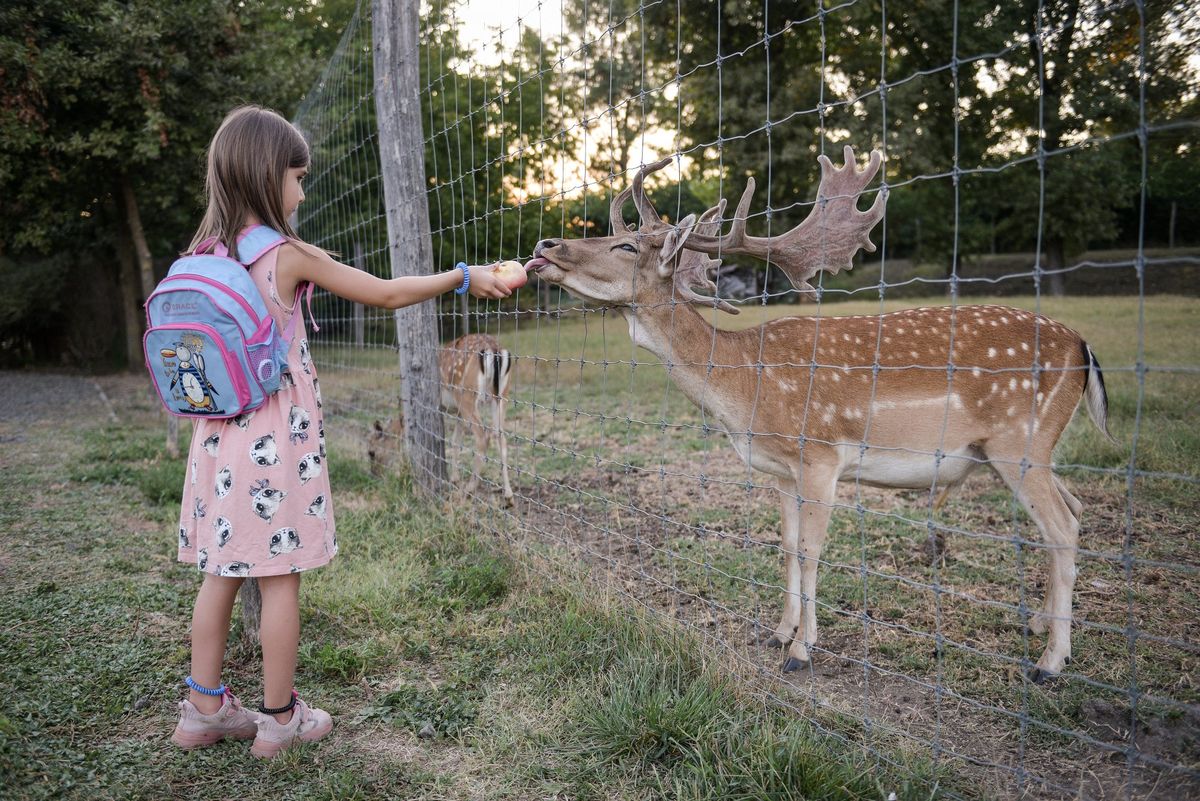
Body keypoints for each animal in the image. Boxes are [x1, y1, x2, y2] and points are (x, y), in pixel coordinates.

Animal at [367, 335, 513, 503]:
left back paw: (469, 489)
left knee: (483, 436)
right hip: (502, 395)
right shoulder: (458, 412)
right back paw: (508, 495)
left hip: (466, 395)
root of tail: (494, 349)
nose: (374, 474)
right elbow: (456, 441)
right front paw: (454, 478)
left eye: (371, 452)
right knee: (501, 437)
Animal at [525, 145, 1113, 681]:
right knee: (1075, 506)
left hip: (1019, 441)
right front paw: (778, 632)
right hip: (1028, 448)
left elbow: (810, 550)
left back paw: (1051, 661)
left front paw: (801, 651)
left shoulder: (822, 457)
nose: (545, 244)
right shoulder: (780, 469)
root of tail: (1083, 347)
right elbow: (786, 547)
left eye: (625, 244)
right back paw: (1038, 624)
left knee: (1062, 525)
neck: (744, 385)